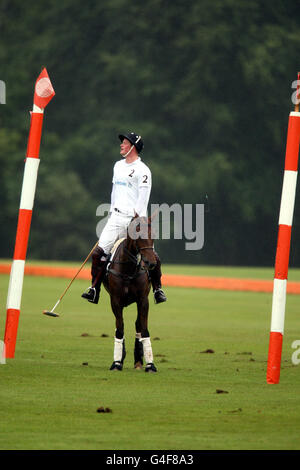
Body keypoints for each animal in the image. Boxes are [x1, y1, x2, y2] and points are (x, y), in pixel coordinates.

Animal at [102, 215, 158, 372]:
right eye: (137, 234)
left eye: (153, 234)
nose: (151, 263)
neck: (128, 269)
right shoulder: (115, 300)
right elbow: (120, 328)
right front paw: (116, 362)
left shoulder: (143, 300)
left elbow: (144, 329)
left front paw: (150, 365)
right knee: (119, 325)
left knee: (137, 324)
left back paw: (138, 360)